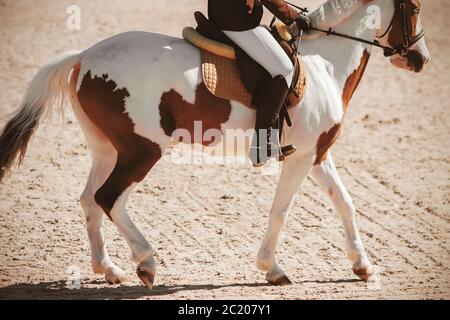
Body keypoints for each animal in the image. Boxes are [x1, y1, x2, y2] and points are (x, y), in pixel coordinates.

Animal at [0, 0, 428, 288]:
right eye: (415, 8)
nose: (420, 59)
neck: (324, 64)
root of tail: (84, 56)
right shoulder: (302, 157)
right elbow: (281, 211)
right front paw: (272, 269)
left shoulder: (318, 153)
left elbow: (345, 203)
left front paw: (363, 265)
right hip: (142, 150)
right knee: (109, 198)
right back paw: (145, 262)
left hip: (107, 149)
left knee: (90, 200)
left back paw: (110, 270)